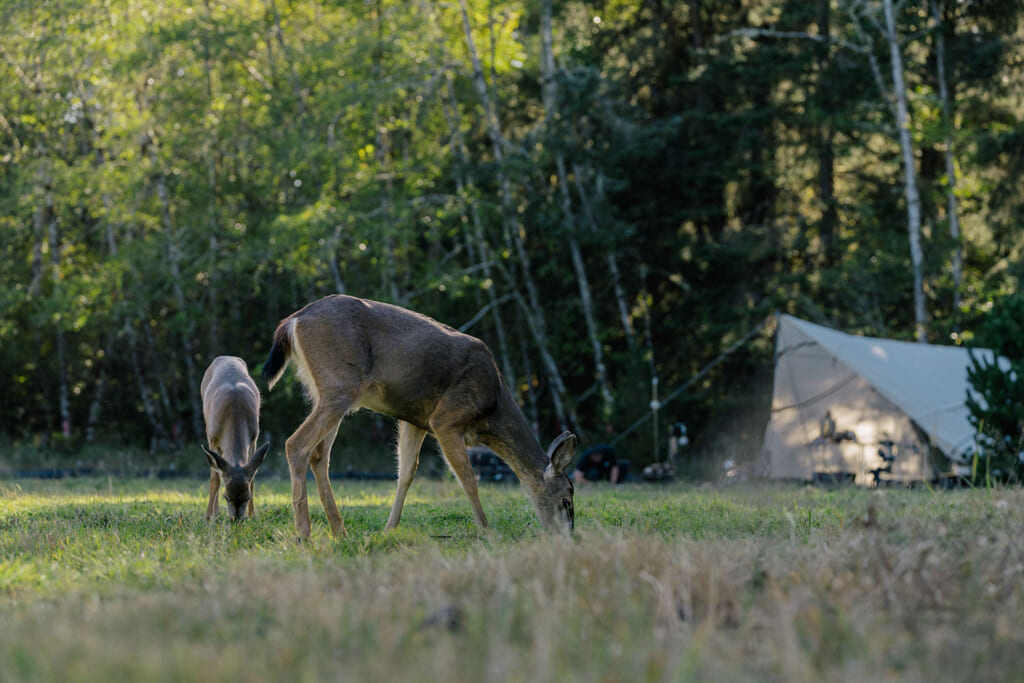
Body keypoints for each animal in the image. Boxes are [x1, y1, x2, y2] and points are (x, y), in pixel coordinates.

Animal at [199, 356, 270, 520]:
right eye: (226, 497)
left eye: (247, 497)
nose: (236, 520)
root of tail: (227, 357)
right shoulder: (213, 439)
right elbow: (215, 479)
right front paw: (209, 517)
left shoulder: (254, 438)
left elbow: (252, 479)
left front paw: (252, 515)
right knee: (216, 473)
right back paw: (215, 513)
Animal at [262, 294, 577, 540]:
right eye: (566, 499)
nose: (569, 535)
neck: (492, 408)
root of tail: (293, 320)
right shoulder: (446, 419)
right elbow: (467, 476)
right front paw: (487, 531)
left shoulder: (414, 420)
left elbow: (406, 473)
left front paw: (389, 529)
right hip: (339, 387)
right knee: (296, 444)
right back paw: (304, 534)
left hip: (327, 393)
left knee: (319, 456)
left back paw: (339, 531)